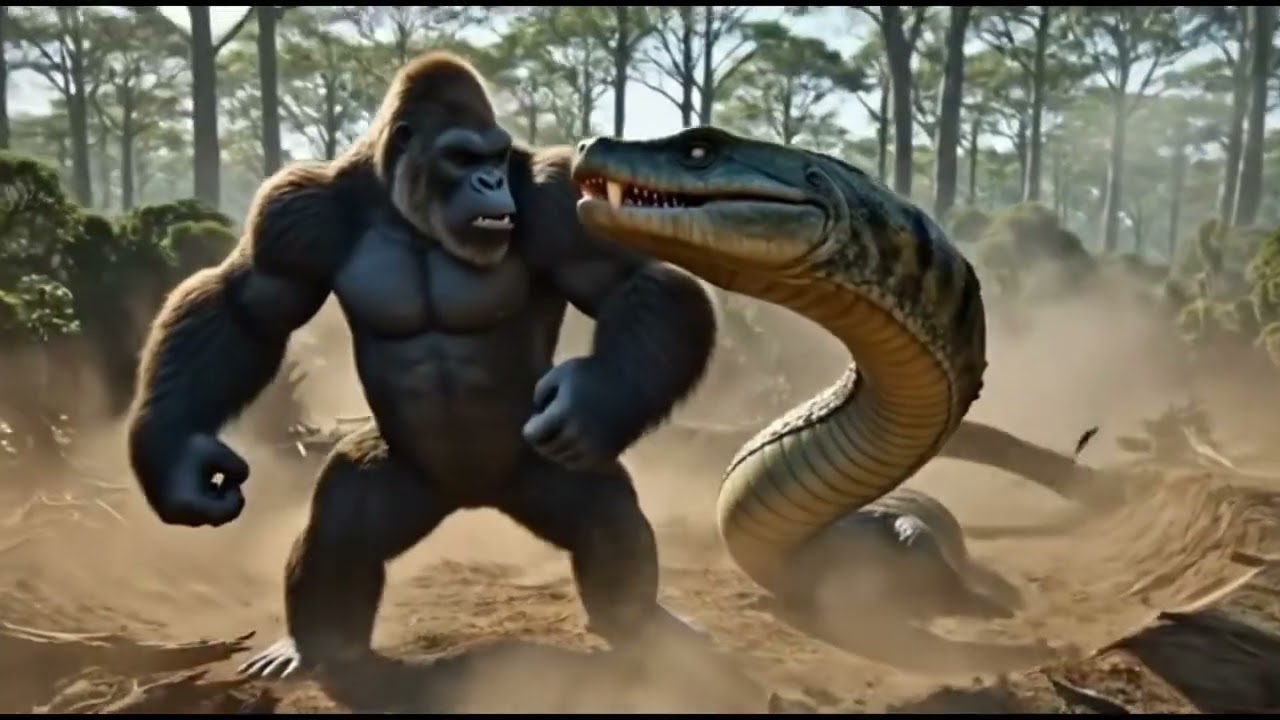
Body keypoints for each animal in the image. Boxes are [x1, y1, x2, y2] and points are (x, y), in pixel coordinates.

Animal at [125, 51, 717, 679]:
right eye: (463, 157)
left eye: (495, 157)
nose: (490, 182)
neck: (408, 211)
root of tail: (473, 495)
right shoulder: (293, 211)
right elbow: (244, 303)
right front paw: (176, 456)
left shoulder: (558, 196)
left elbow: (633, 281)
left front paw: (593, 400)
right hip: (403, 478)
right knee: (340, 527)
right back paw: (315, 644)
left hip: (534, 469)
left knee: (604, 515)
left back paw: (641, 623)